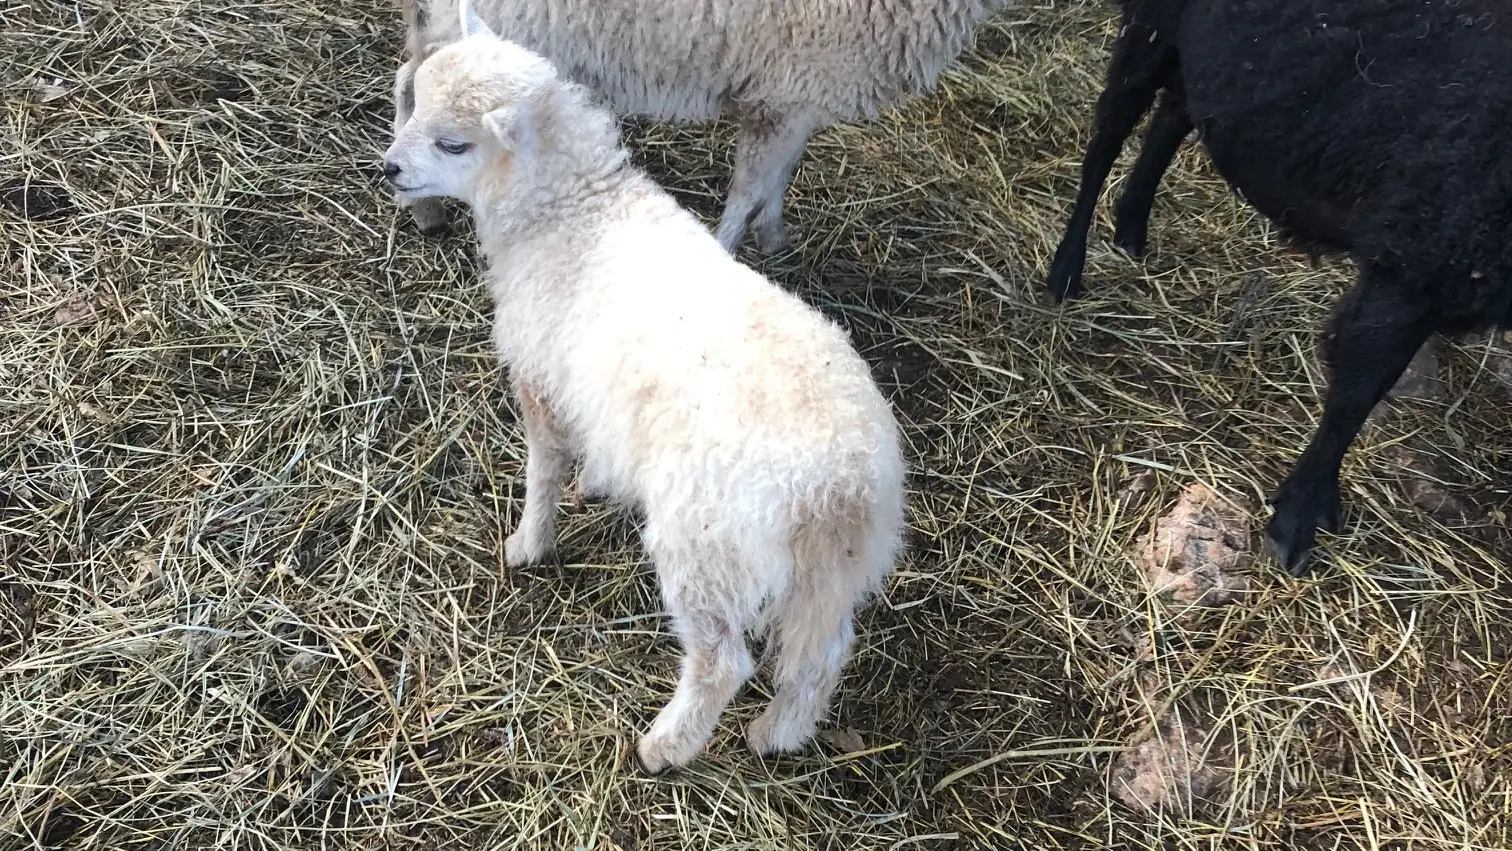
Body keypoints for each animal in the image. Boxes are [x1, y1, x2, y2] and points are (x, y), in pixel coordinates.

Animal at [387, 0, 1016, 252]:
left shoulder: (793, 99)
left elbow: (778, 177)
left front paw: (774, 236)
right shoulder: (790, 89)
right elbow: (747, 189)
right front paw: (732, 247)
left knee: (409, 81)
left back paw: (421, 203)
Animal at [387, 6, 907, 773]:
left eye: (454, 143)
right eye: (414, 102)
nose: (388, 168)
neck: (574, 213)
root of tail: (841, 485)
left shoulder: (542, 379)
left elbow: (544, 469)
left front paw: (528, 543)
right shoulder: (597, 391)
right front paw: (598, 485)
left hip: (709, 545)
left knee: (724, 660)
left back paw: (666, 745)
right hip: (836, 567)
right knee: (822, 652)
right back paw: (778, 734)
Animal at [1046, 0, 1512, 577]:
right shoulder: (1416, 252)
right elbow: (1355, 392)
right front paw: (1298, 517)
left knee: (1177, 110)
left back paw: (1131, 226)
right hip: (1151, 24)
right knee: (1109, 131)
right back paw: (1066, 270)